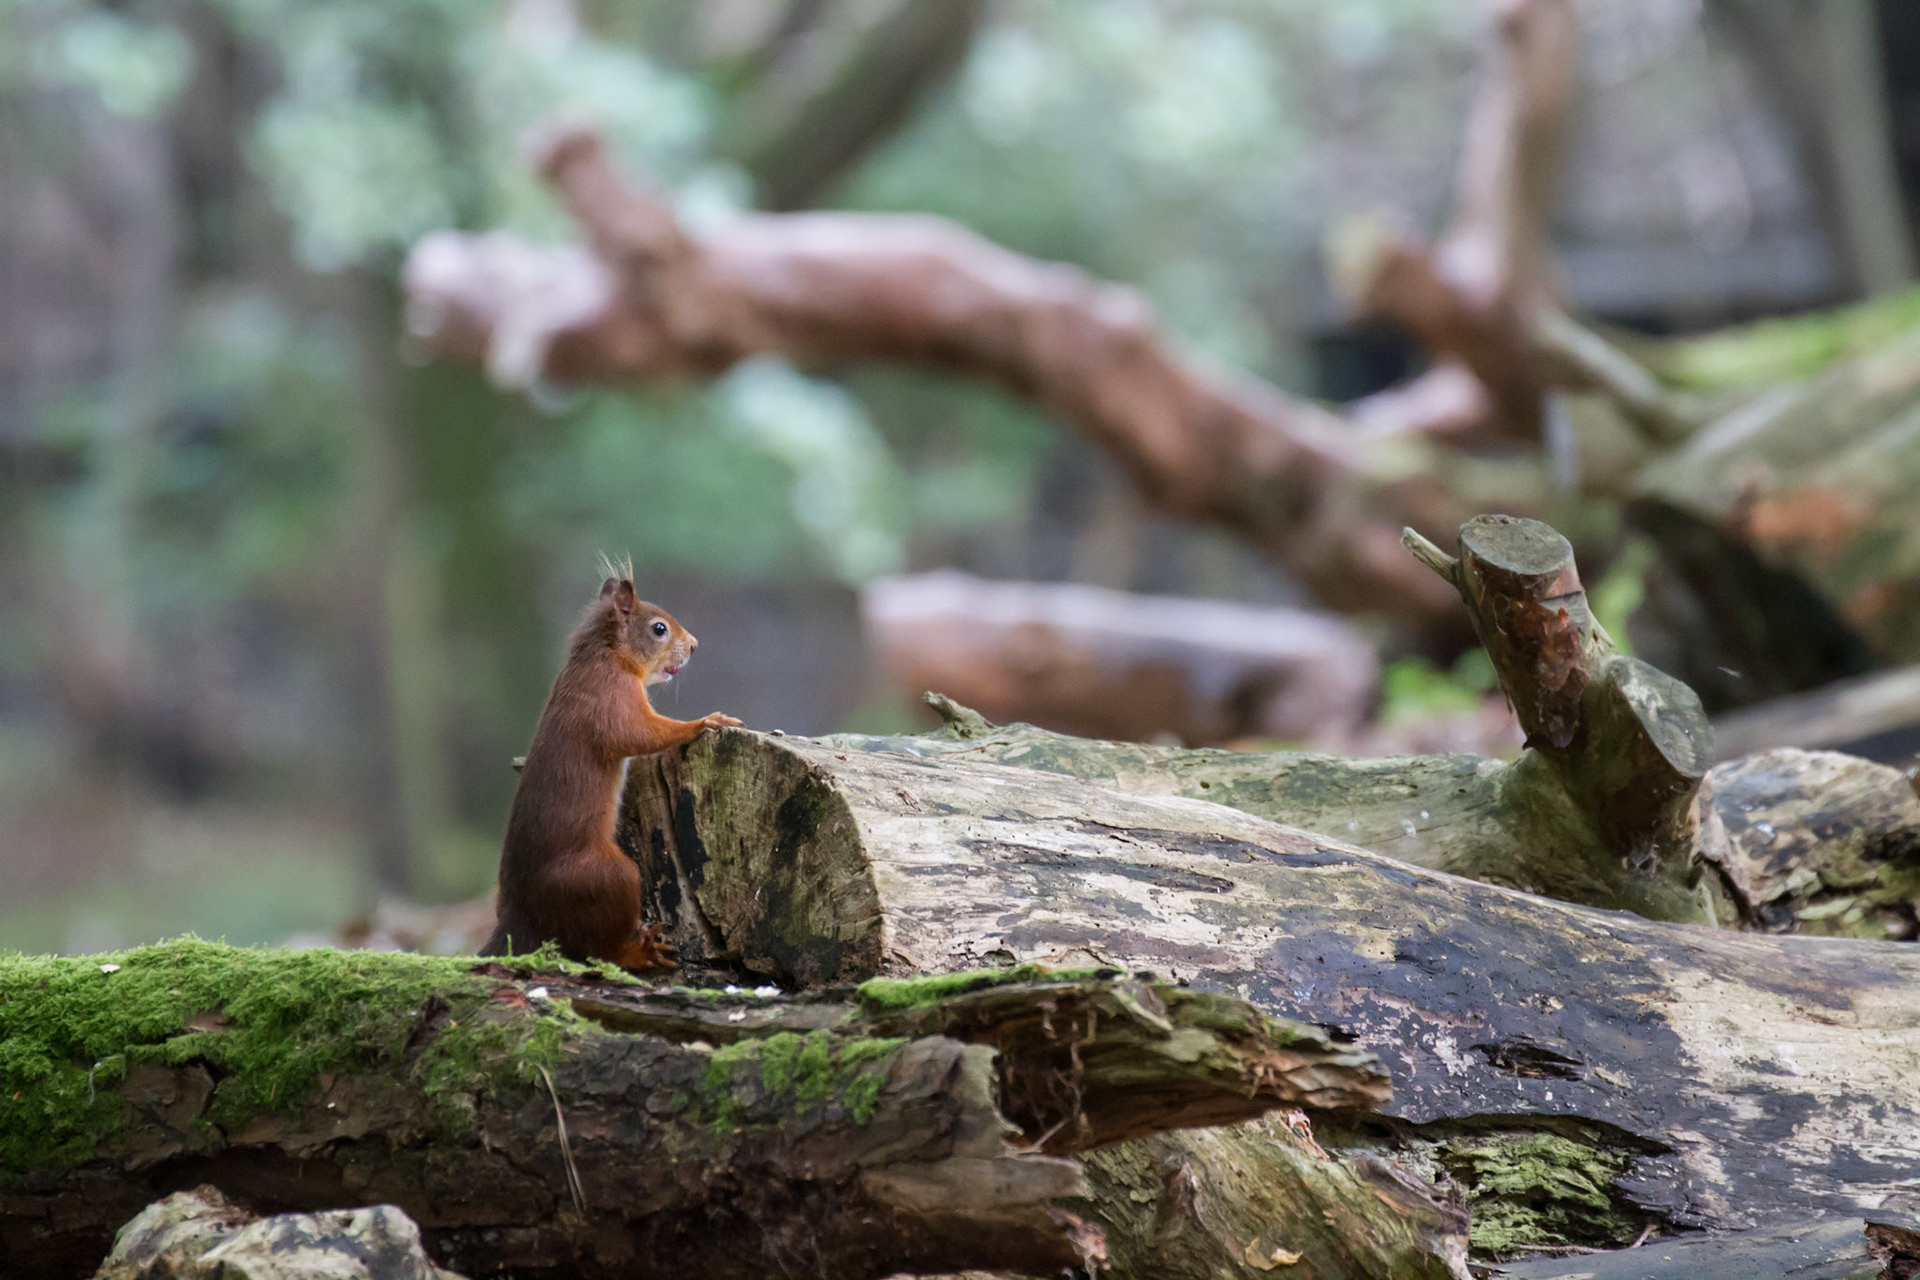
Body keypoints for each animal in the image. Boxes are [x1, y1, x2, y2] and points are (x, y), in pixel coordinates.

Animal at [481, 570, 741, 969]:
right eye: (659, 628)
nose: (695, 646)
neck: (605, 657)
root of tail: (522, 916)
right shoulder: (612, 701)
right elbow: (643, 734)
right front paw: (706, 722)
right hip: (609, 878)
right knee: (603, 951)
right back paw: (639, 952)